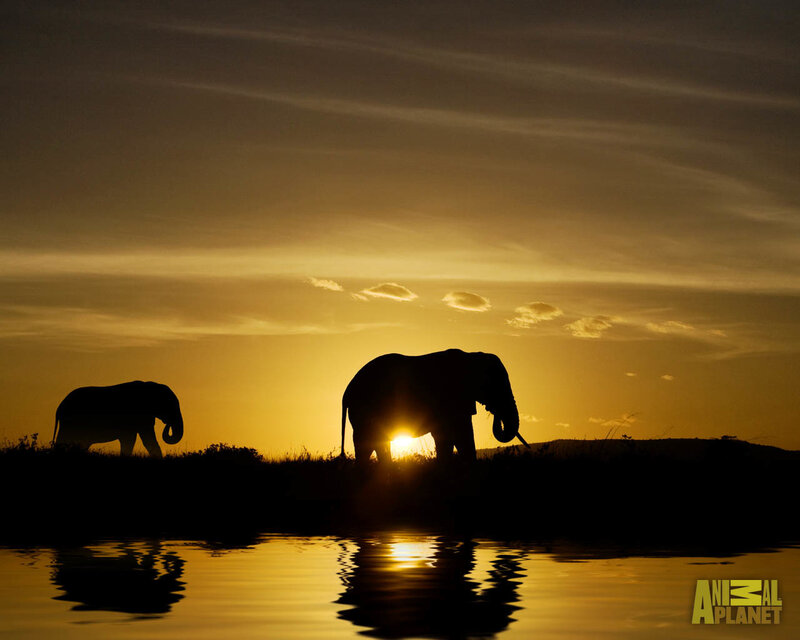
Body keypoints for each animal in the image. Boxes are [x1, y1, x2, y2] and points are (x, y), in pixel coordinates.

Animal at [340, 349, 524, 463]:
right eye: (494, 386)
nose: (493, 410)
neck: (471, 356)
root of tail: (347, 392)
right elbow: (456, 436)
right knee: (367, 444)